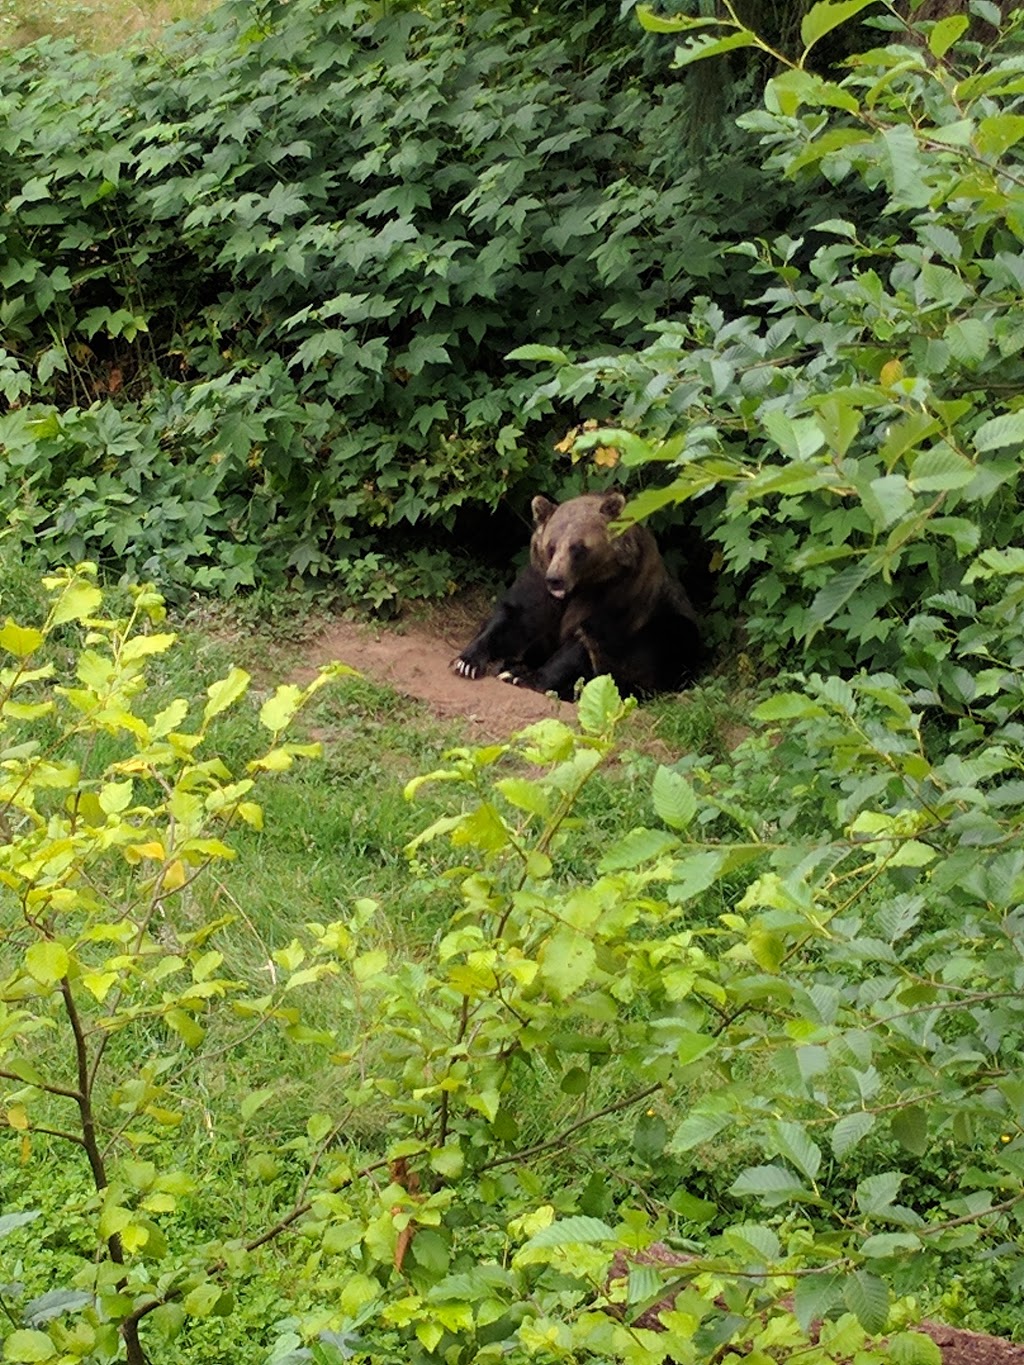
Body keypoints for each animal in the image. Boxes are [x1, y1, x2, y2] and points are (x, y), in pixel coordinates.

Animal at [453, 491, 704, 698]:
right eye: (551, 546)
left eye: (578, 547)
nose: (555, 579)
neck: (581, 586)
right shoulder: (538, 582)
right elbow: (516, 616)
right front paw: (467, 661)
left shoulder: (619, 596)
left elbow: (584, 642)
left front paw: (526, 678)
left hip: (670, 631)